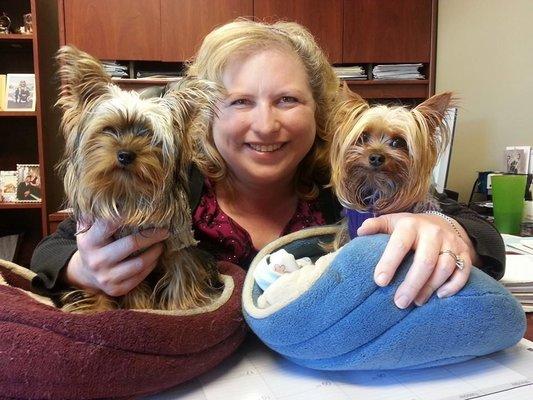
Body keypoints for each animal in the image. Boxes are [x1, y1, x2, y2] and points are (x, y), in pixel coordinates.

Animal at [54, 45, 220, 310]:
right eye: (109, 129)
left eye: (150, 136)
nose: (125, 154)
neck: (129, 191)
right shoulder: (125, 262)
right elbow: (131, 289)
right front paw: (139, 309)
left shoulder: (179, 242)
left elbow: (181, 275)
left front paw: (181, 308)